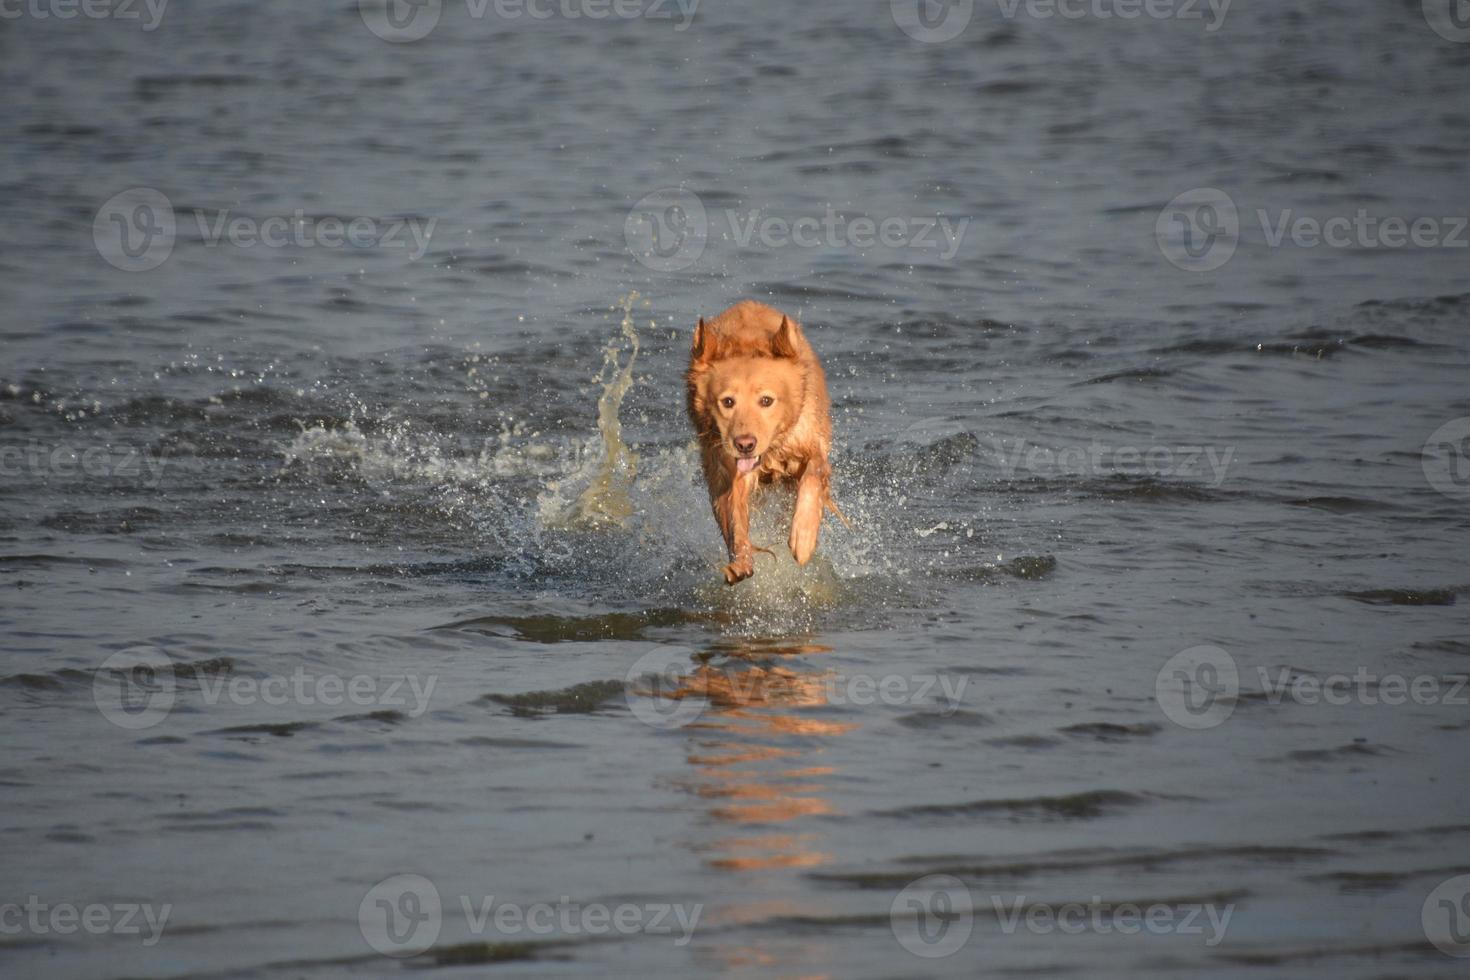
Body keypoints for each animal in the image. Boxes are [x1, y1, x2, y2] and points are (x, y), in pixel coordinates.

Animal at [682, 301, 846, 581]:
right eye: (728, 401)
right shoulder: (726, 467)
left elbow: (814, 474)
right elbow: (733, 513)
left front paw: (803, 537)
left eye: (766, 400)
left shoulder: (809, 441)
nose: (745, 444)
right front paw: (740, 559)